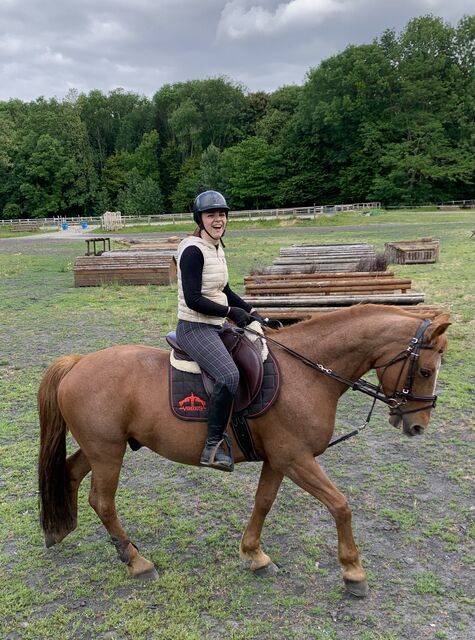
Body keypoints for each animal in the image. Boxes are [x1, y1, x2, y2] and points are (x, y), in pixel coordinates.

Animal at [37, 304, 450, 597]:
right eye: (426, 371)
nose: (418, 426)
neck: (308, 374)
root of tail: (78, 363)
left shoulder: (279, 460)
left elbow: (263, 502)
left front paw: (254, 555)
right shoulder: (296, 458)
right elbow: (340, 506)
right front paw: (353, 572)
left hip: (101, 449)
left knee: (71, 474)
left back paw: (61, 529)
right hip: (108, 452)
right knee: (103, 501)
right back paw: (136, 561)